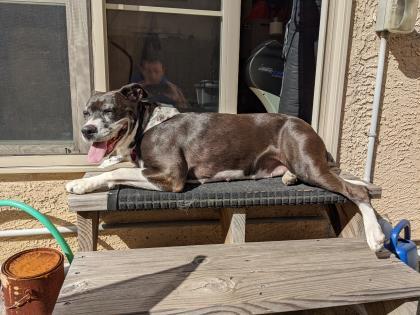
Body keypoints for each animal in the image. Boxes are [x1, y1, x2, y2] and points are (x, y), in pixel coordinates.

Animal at [67, 83, 386, 252]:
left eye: (110, 111)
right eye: (85, 112)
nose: (86, 130)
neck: (147, 125)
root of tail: (309, 126)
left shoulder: (171, 177)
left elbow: (118, 172)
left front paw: (82, 183)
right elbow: (117, 165)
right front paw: (90, 174)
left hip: (312, 166)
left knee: (357, 191)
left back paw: (375, 235)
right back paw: (288, 177)